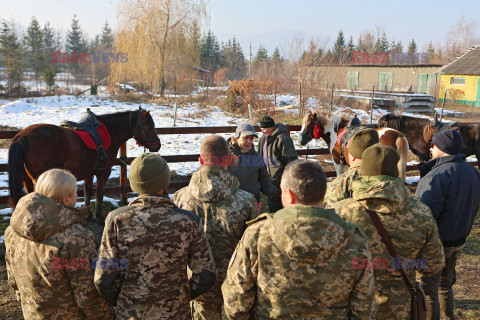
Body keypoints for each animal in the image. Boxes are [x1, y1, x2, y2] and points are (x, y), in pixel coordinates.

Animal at [7, 107, 161, 222]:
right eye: (149, 126)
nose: (157, 145)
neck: (110, 132)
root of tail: (22, 136)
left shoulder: (89, 172)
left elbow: (87, 191)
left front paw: (89, 214)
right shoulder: (103, 172)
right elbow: (99, 193)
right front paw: (99, 216)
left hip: (26, 180)